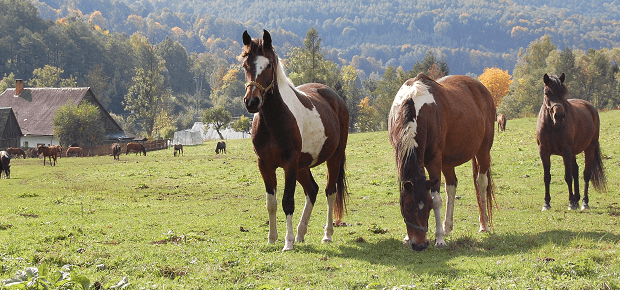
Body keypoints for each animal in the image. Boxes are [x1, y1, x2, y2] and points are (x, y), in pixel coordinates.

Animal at [241, 30, 348, 251]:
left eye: (269, 65)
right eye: (246, 65)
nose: (252, 101)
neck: (274, 120)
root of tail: (335, 98)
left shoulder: (289, 163)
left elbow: (287, 201)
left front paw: (287, 242)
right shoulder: (265, 164)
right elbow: (271, 203)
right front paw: (272, 238)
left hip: (333, 157)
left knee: (329, 192)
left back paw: (326, 235)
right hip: (302, 166)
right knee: (312, 190)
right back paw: (301, 233)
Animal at [390, 73, 496, 251]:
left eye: (428, 207)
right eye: (407, 209)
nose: (420, 245)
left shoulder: (434, 160)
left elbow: (437, 199)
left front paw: (439, 238)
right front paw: (407, 236)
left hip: (483, 151)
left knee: (481, 183)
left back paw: (483, 225)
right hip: (447, 162)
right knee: (451, 186)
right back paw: (447, 227)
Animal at [536, 73, 608, 211]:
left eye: (564, 92)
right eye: (547, 93)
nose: (559, 116)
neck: (553, 127)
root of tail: (591, 107)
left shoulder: (566, 151)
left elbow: (568, 176)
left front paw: (570, 203)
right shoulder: (544, 152)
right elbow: (547, 177)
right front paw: (546, 203)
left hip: (589, 148)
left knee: (586, 174)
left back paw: (584, 203)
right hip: (573, 152)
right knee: (576, 170)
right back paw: (576, 200)